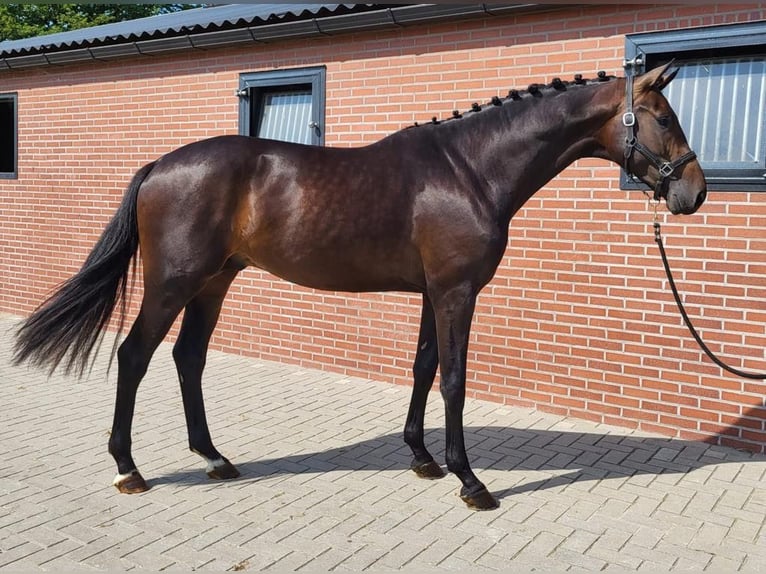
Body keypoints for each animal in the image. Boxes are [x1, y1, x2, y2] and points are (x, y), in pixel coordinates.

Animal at [12, 63, 708, 510]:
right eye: (662, 117)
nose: (693, 193)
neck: (470, 169)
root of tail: (160, 165)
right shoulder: (457, 291)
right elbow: (454, 378)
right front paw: (470, 482)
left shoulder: (432, 292)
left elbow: (424, 366)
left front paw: (423, 459)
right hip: (173, 282)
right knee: (134, 355)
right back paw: (129, 469)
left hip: (214, 282)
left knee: (189, 358)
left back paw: (214, 458)